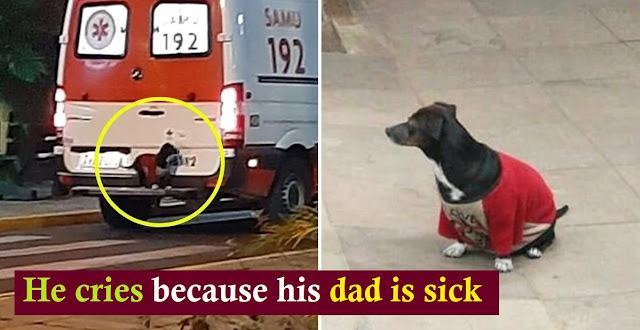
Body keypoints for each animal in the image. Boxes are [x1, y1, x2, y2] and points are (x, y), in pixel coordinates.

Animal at [384, 102, 568, 272]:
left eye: (412, 124)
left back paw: (535, 248)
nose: (387, 130)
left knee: (548, 237)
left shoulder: (503, 214)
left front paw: (504, 260)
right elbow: (458, 231)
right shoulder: (451, 210)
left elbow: (504, 239)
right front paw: (458, 247)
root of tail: (554, 213)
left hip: (543, 224)